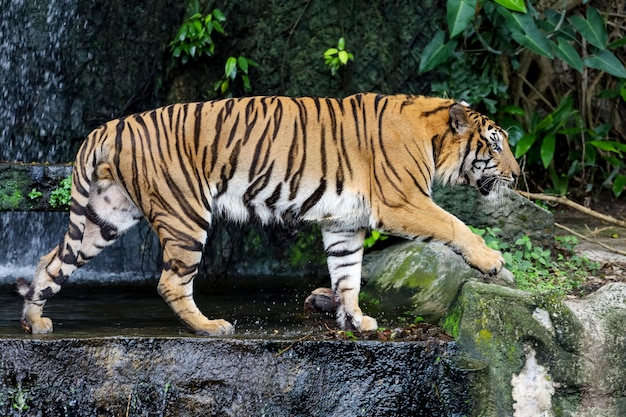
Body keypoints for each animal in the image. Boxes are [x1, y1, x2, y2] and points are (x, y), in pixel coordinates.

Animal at [17, 93, 520, 334]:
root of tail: (109, 126)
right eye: (496, 146)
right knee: (170, 281)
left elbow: (348, 275)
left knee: (50, 261)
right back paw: (211, 327)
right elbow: (456, 224)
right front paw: (495, 264)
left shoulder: (345, 223)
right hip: (185, 214)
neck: (432, 138)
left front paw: (355, 320)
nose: (519, 174)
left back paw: (34, 320)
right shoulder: (403, 202)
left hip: (106, 216)